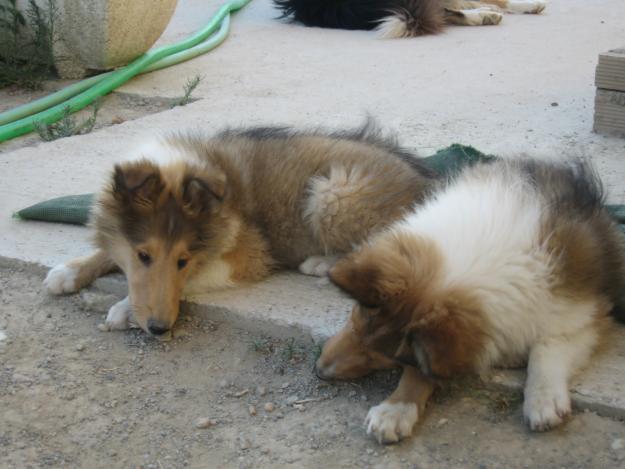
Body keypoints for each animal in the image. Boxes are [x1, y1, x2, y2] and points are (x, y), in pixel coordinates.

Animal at [44, 124, 436, 336]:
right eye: (143, 255)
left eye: (183, 260)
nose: (159, 329)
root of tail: (427, 185)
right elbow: (110, 252)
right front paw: (68, 272)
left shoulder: (249, 254)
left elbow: (189, 279)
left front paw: (124, 309)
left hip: (334, 191)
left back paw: (323, 264)